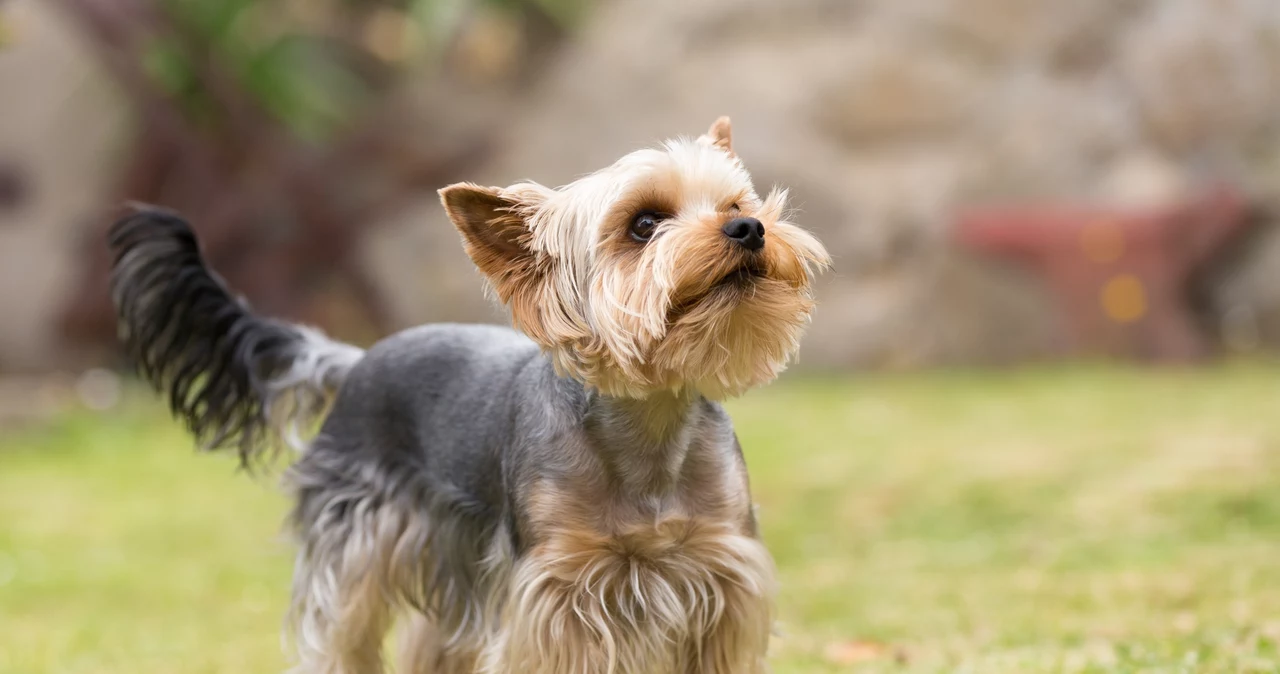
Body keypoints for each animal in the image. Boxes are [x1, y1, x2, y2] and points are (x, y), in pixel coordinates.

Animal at [107, 118, 829, 670]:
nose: (749, 231)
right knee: (340, 639)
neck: (650, 417)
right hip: (356, 547)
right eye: (644, 224)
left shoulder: (721, 575)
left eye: (738, 206)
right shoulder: (556, 595)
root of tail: (358, 357)